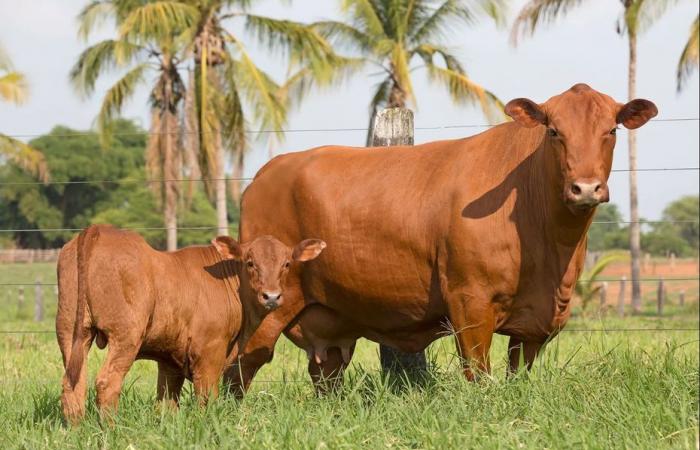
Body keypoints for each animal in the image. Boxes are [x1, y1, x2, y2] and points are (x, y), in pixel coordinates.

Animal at [57, 225, 326, 422]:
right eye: (250, 262)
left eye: (286, 264)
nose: (271, 296)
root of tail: (98, 230)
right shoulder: (209, 352)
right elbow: (207, 397)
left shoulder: (169, 359)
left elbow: (166, 402)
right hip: (125, 337)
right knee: (106, 383)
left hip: (71, 331)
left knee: (73, 385)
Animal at [223, 84, 656, 394]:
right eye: (553, 131)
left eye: (611, 130)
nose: (586, 188)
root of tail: (265, 173)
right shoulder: (470, 301)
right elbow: (479, 374)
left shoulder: (533, 321)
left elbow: (518, 374)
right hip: (268, 306)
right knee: (240, 366)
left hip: (328, 319)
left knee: (324, 374)